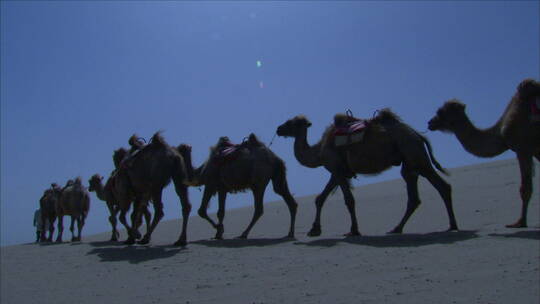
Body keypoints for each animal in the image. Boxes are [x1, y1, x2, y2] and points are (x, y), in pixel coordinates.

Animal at [276, 109, 458, 238]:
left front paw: (354, 230)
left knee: (441, 186)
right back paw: (398, 228)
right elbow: (320, 198)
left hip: (415, 154)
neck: (318, 152)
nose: (278, 129)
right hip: (409, 162)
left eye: (292, 123)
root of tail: (418, 135)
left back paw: (451, 225)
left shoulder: (337, 169)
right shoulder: (338, 172)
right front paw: (314, 230)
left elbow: (349, 200)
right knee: (415, 195)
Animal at [426, 78, 540, 228]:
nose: (430, 123)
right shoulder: (535, 150)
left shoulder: (523, 148)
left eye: (441, 112)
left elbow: (525, 188)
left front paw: (520, 222)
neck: (500, 133)